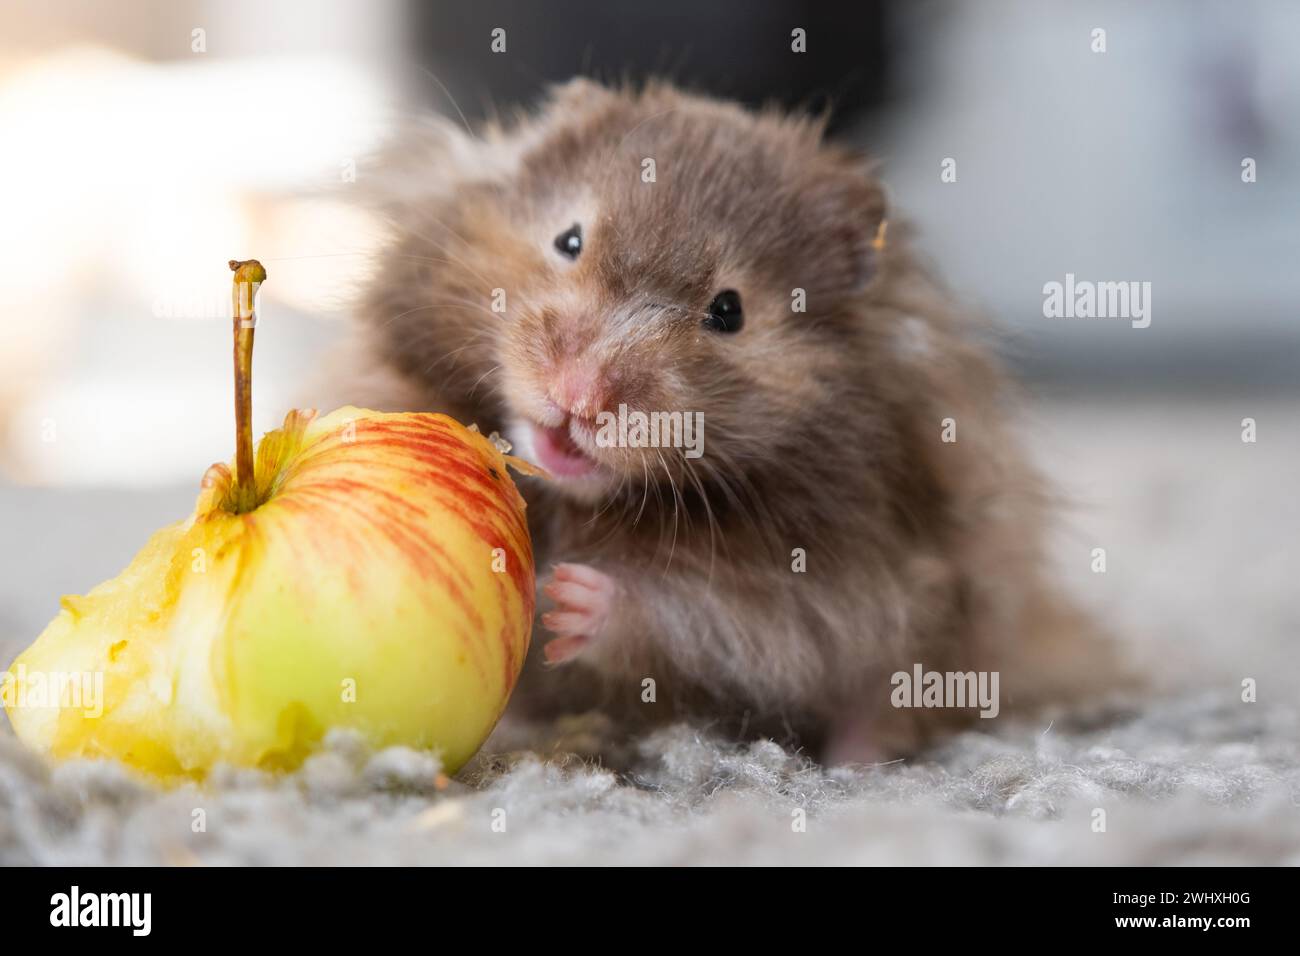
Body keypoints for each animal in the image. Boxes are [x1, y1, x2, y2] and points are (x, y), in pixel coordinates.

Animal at [338, 78, 1128, 764]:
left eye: (729, 311)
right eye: (568, 240)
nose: (579, 394)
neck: (584, 501)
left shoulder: (821, 589)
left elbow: (696, 614)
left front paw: (569, 596)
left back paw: (858, 762)